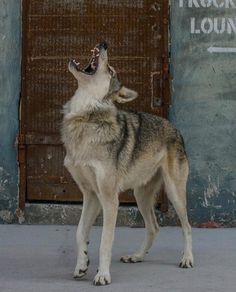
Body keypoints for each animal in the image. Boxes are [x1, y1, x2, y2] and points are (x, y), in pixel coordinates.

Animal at [61, 42, 194, 286]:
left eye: (111, 69)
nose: (104, 43)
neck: (85, 117)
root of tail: (175, 128)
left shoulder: (109, 199)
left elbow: (105, 241)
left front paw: (102, 275)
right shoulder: (90, 195)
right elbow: (79, 233)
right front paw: (82, 265)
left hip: (174, 194)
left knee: (187, 227)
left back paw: (187, 259)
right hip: (140, 196)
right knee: (154, 227)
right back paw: (136, 256)